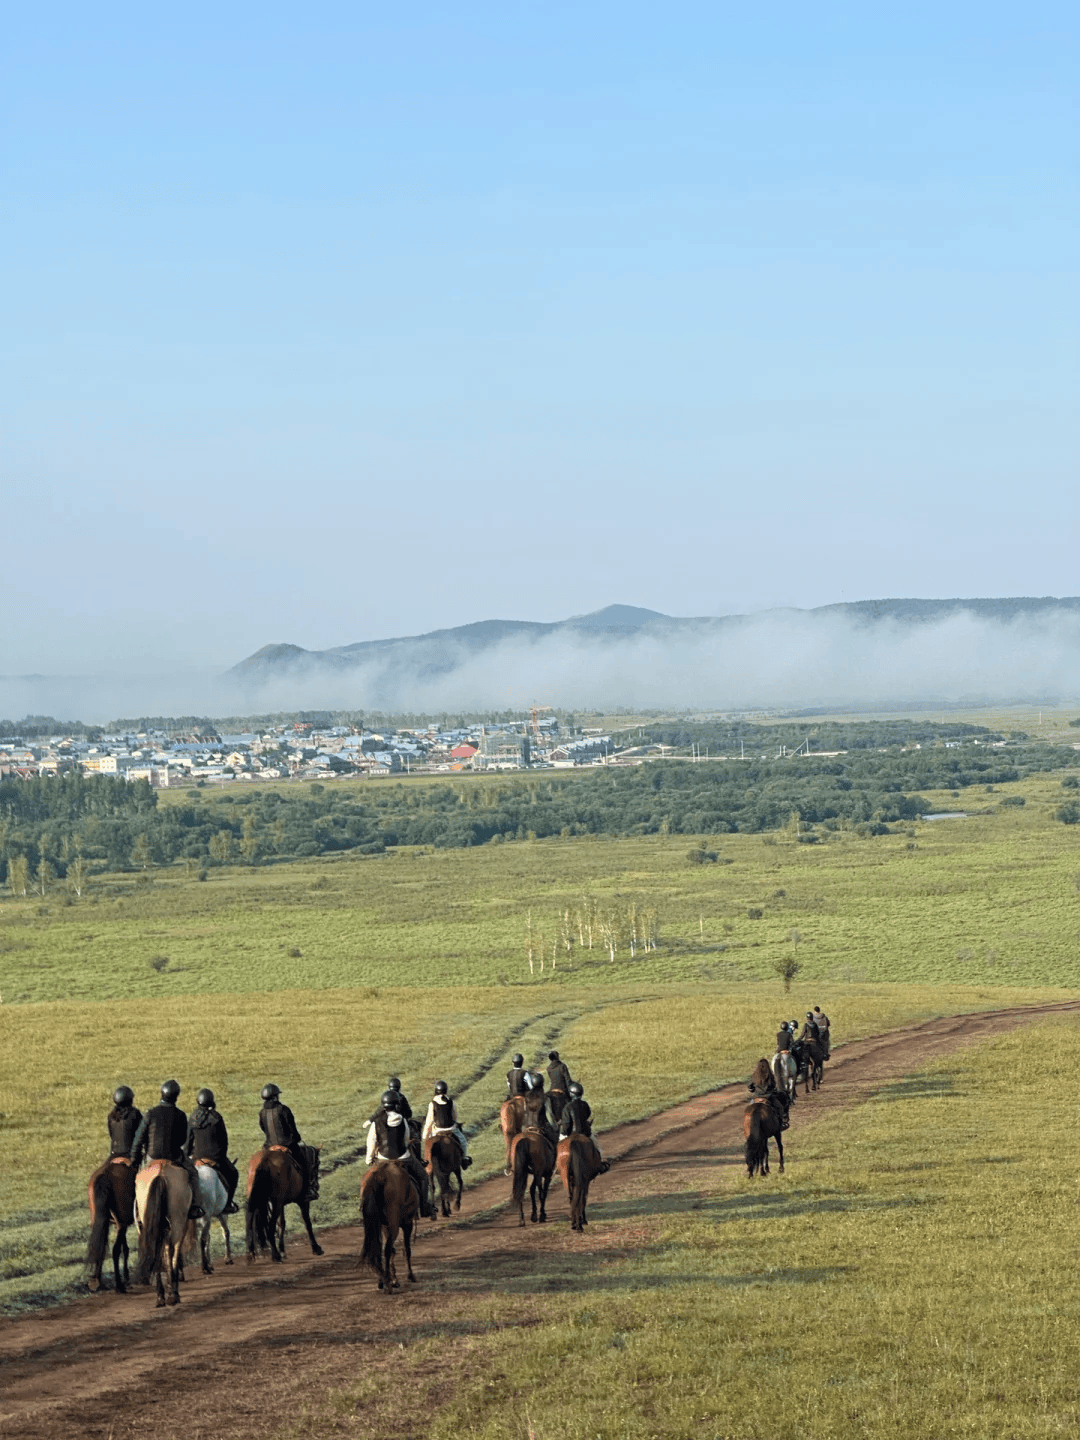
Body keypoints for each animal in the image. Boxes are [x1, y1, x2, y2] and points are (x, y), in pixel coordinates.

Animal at [84, 1157, 137, 1296]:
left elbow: (125, 1248)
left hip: (100, 1221)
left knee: (100, 1247)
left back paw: (96, 1281)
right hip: (120, 1223)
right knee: (115, 1250)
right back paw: (119, 1285)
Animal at [135, 1157, 194, 1307]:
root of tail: (160, 1173)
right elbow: (171, 1254)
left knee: (155, 1252)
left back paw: (160, 1296)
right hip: (178, 1223)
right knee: (174, 1250)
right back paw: (173, 1294)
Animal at [360, 1157, 417, 1296]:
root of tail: (378, 1175)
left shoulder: (384, 1226)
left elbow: (393, 1250)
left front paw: (394, 1279)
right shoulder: (407, 1223)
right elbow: (406, 1249)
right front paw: (410, 1275)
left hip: (376, 1224)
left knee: (378, 1248)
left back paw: (382, 1280)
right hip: (395, 1224)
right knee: (386, 1249)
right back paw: (387, 1284)